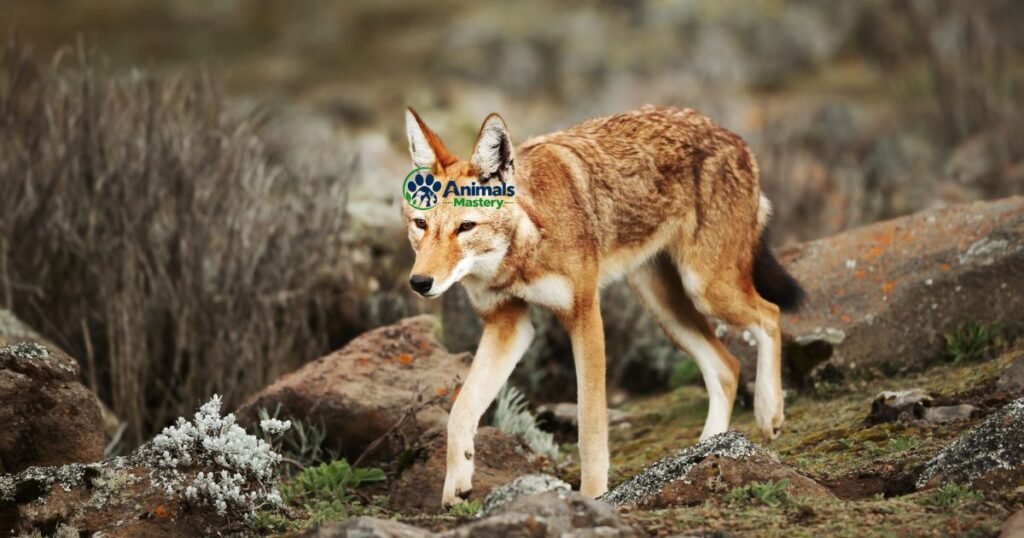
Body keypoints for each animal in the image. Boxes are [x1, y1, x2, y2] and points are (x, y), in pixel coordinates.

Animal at [400, 105, 804, 507]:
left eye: (466, 227)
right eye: (420, 224)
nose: (420, 283)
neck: (524, 247)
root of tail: (731, 135)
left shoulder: (584, 315)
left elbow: (590, 429)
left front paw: (592, 497)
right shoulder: (507, 325)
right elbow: (459, 411)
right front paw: (456, 484)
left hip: (705, 289)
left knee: (770, 315)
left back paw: (768, 414)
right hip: (664, 307)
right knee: (727, 367)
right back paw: (708, 448)